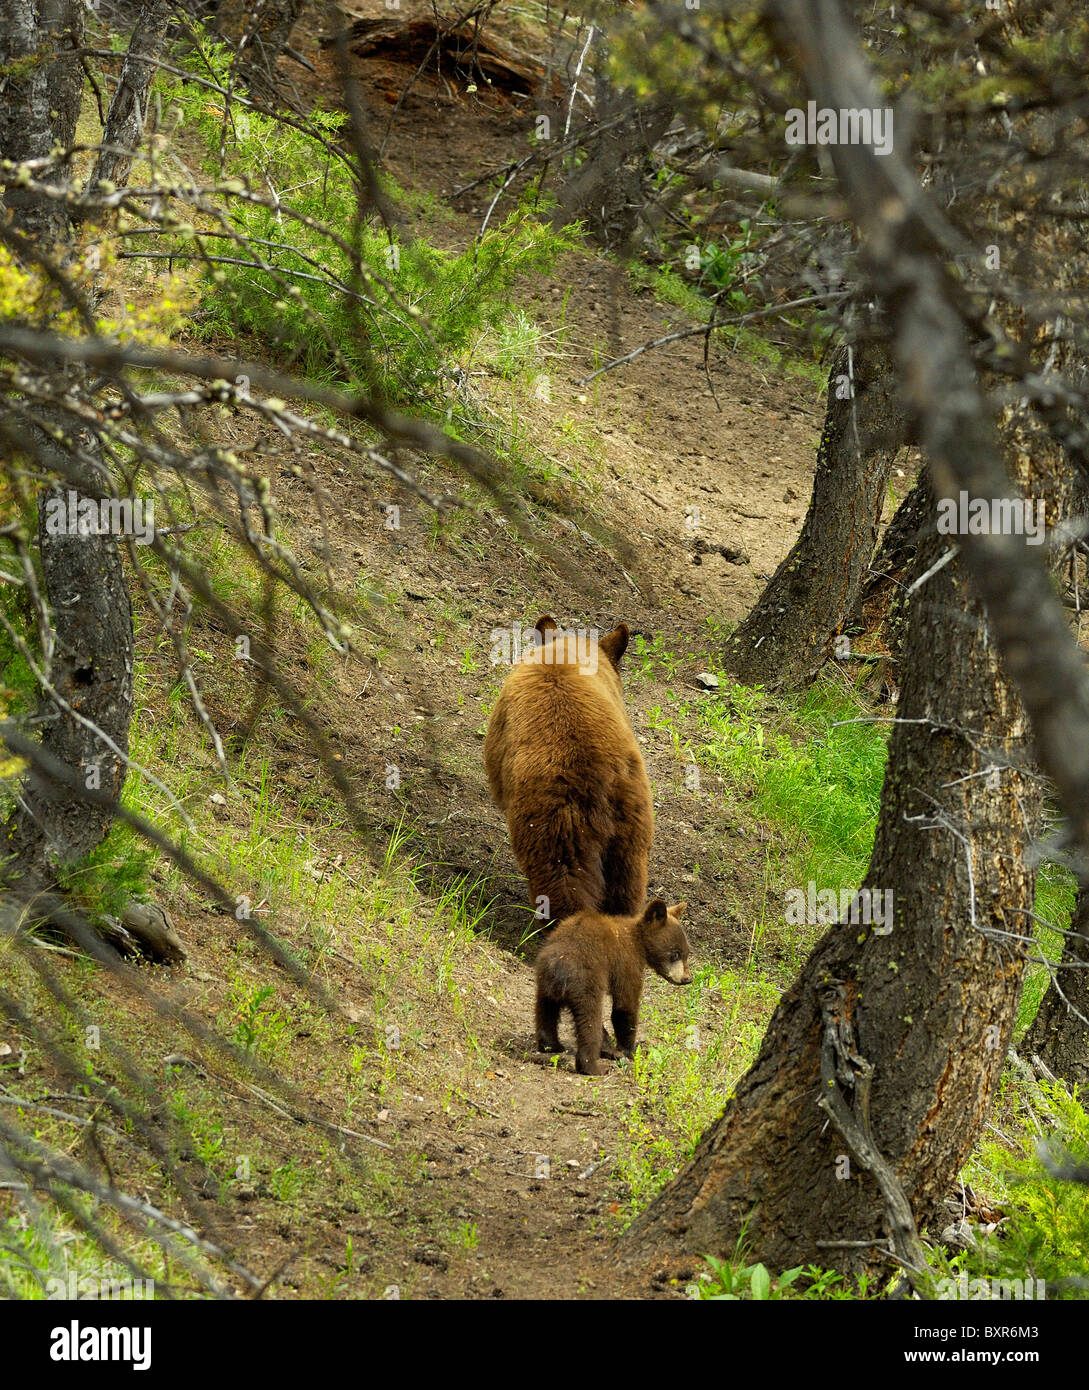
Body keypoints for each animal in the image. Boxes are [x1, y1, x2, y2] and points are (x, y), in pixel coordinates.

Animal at [534, 895, 689, 1078]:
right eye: (675, 953)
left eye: (687, 953)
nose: (687, 978)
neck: (638, 940)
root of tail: (557, 965)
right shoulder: (627, 961)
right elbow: (626, 1004)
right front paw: (630, 1050)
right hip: (586, 983)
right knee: (590, 1022)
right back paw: (594, 1066)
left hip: (544, 983)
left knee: (545, 1011)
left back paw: (550, 1045)